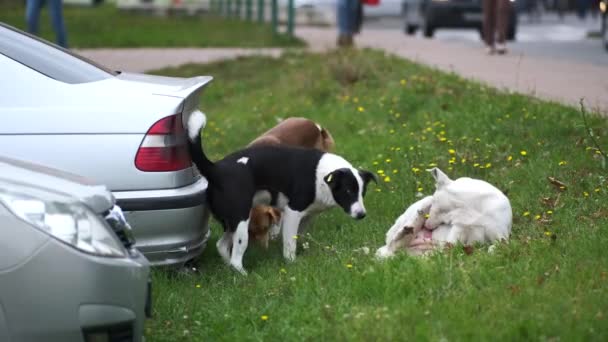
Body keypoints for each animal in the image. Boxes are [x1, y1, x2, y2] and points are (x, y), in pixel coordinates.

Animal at [376, 167, 512, 258]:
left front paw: (492, 251)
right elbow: (450, 244)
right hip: (421, 205)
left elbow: (498, 245)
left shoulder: (501, 236)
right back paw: (408, 229)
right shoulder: (458, 228)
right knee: (393, 243)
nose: (427, 226)